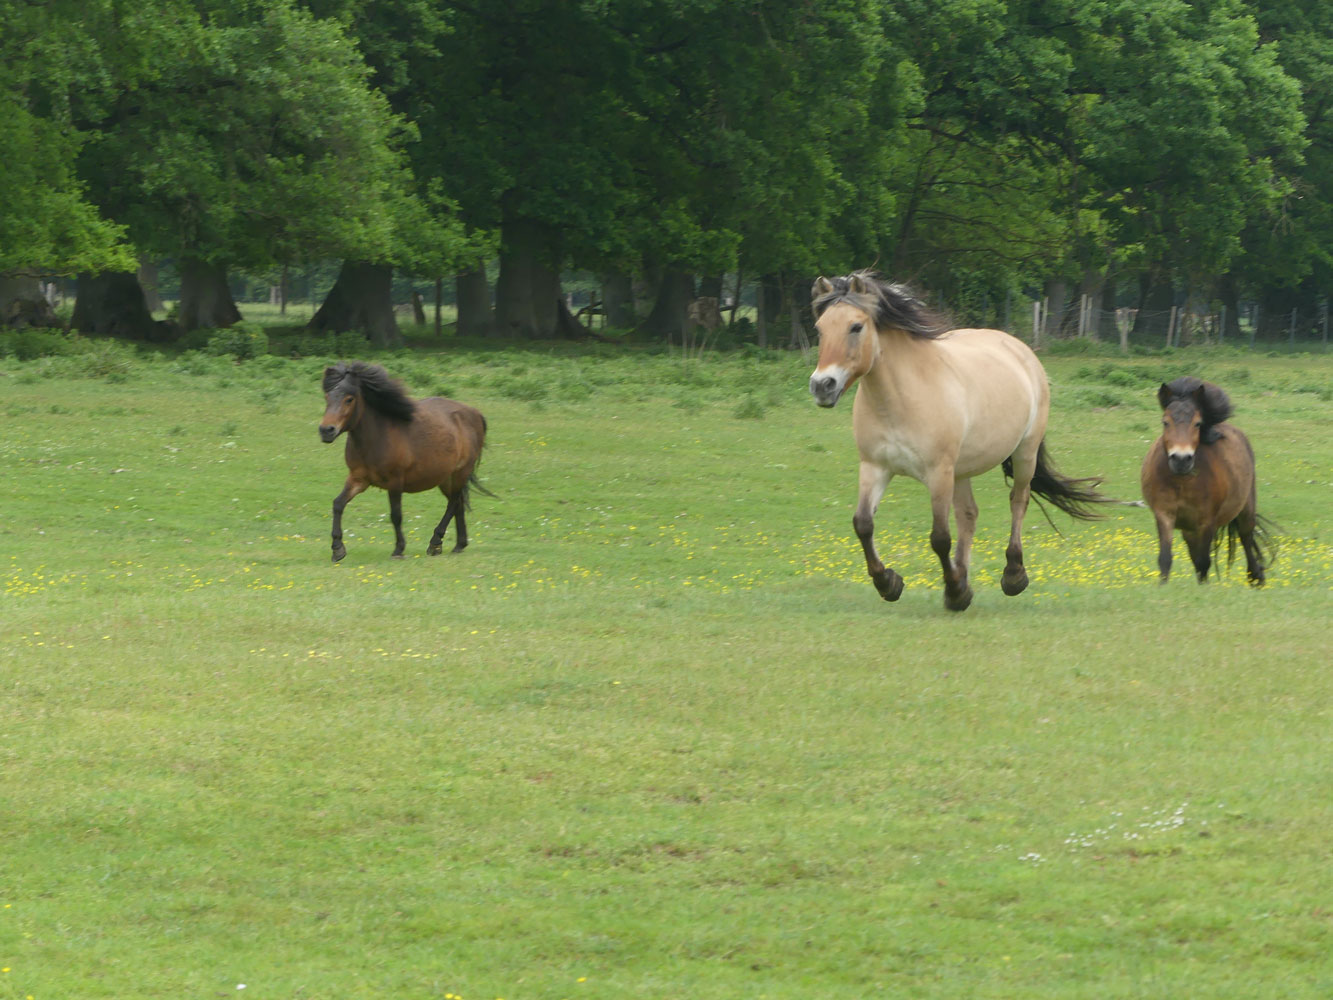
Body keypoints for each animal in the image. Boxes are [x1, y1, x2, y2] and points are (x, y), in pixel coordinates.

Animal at [317, 360, 490, 565]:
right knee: (458, 503)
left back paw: (435, 543)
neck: (377, 437)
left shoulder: (395, 482)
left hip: (459, 473)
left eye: (349, 399)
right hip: (446, 478)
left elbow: (396, 515)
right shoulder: (358, 479)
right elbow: (338, 504)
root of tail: (475, 413)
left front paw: (399, 549)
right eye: (327, 396)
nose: (326, 430)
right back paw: (459, 545)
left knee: (453, 503)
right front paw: (337, 549)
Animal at [805, 276, 1109, 618]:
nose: (822, 386)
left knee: (1018, 501)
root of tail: (1019, 349)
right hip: (961, 469)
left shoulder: (938, 472)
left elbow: (939, 537)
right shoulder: (875, 467)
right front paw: (890, 584)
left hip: (1024, 454)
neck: (900, 398)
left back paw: (1013, 575)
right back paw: (964, 579)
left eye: (856, 327)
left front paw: (952, 590)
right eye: (820, 328)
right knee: (968, 514)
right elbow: (863, 524)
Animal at [1141, 381, 1274, 586]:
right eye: (1165, 422)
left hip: (1245, 511)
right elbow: (1165, 558)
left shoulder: (1207, 521)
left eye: (1197, 423)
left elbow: (1204, 561)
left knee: (1246, 539)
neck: (1182, 481)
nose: (1181, 459)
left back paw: (1255, 577)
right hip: (1189, 529)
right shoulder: (1164, 515)